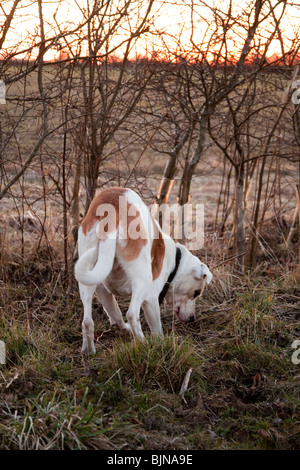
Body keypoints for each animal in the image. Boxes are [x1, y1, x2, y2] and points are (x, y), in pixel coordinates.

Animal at [74, 185, 212, 354]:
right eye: (196, 293)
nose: (192, 319)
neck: (174, 262)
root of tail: (113, 210)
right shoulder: (151, 299)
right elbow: (157, 329)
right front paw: (161, 345)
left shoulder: (103, 290)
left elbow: (115, 314)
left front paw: (123, 329)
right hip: (142, 279)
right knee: (132, 314)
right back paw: (144, 344)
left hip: (87, 277)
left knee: (87, 320)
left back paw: (88, 350)